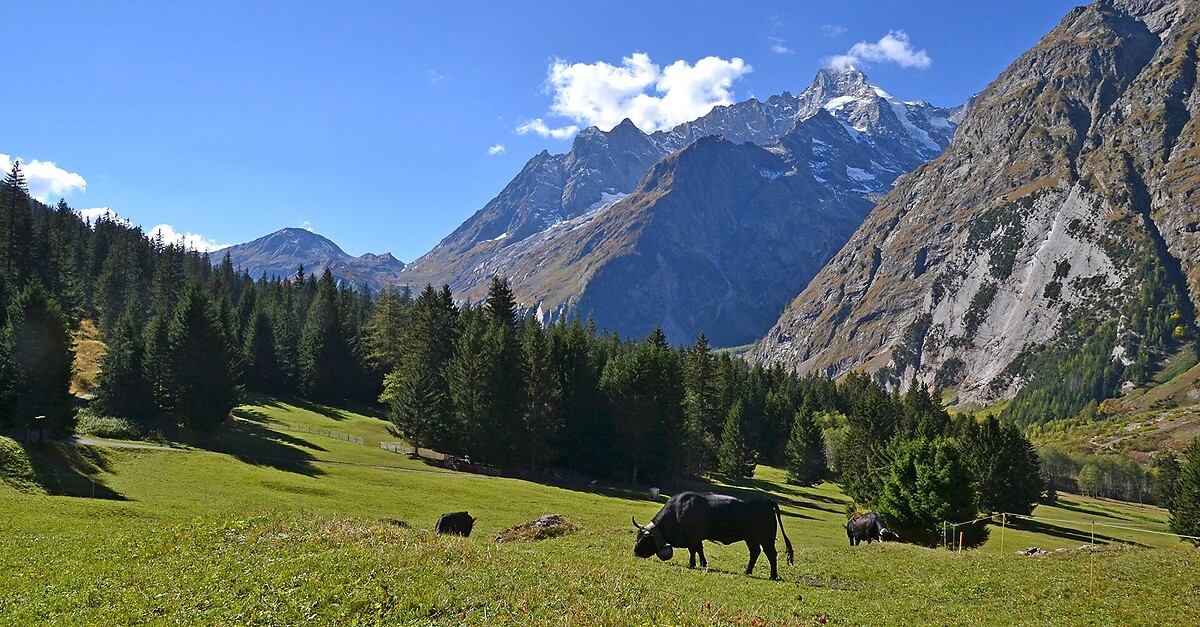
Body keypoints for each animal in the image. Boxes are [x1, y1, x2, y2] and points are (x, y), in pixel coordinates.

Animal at [633, 490, 792, 578]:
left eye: (643, 540)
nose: (635, 552)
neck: (677, 512)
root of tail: (766, 500)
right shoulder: (696, 539)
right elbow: (699, 550)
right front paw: (702, 563)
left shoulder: (693, 538)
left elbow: (693, 550)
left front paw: (692, 564)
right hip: (752, 539)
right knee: (755, 552)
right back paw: (747, 571)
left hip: (766, 539)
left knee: (771, 554)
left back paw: (773, 575)